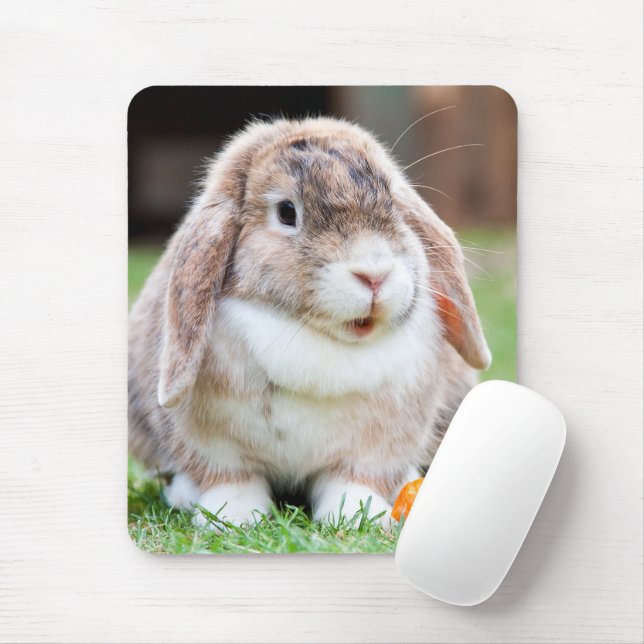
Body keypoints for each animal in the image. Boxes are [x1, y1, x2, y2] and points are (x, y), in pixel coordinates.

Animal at [128, 116, 491, 531]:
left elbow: (353, 481)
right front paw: (233, 518)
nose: (374, 274)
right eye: (287, 212)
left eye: (394, 205)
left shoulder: (375, 449)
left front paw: (358, 517)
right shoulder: (213, 446)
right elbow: (232, 480)